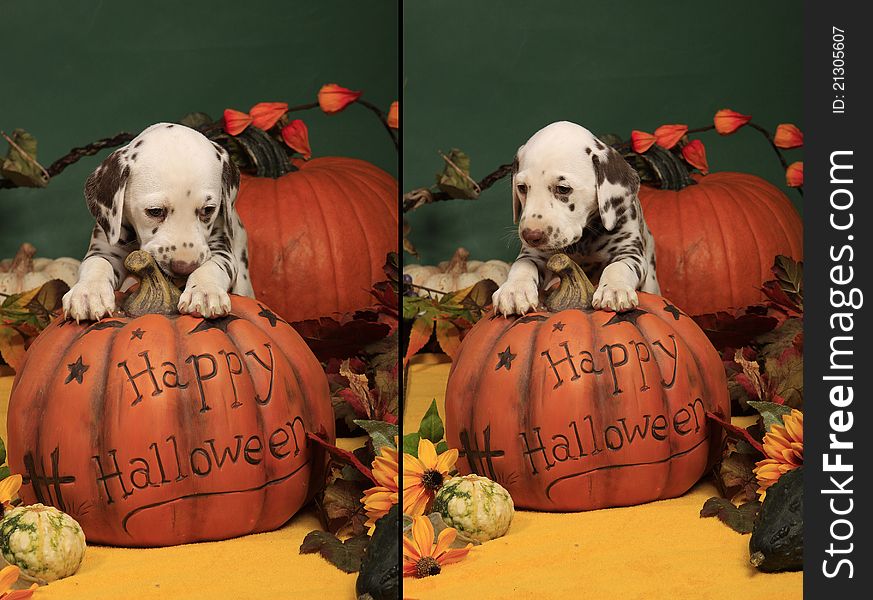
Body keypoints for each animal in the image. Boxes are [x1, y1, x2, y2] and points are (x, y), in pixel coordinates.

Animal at [60, 120, 252, 318]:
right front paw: (88, 292)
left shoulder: (221, 249)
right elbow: (96, 264)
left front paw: (205, 291)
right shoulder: (105, 248)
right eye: (155, 211)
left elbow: (212, 266)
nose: (184, 268)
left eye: (208, 209)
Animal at [494, 123, 656, 318]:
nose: (530, 236)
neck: (583, 243)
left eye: (563, 189)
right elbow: (522, 266)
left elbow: (618, 267)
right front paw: (514, 290)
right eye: (522, 188)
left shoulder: (630, 253)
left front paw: (614, 289)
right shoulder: (534, 255)